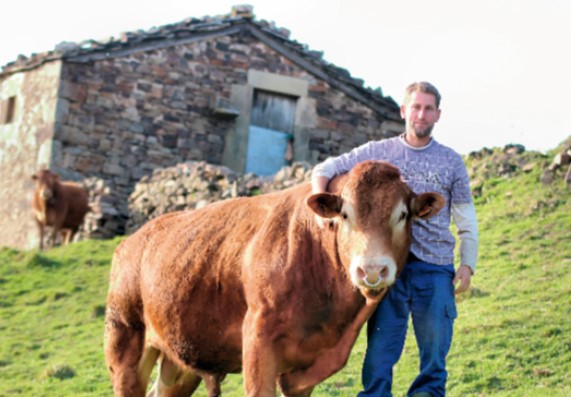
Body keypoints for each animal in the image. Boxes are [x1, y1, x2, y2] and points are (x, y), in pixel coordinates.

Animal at [104, 159, 446, 394]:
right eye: (345, 215)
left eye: (402, 215)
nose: (372, 270)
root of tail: (136, 237)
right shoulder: (259, 339)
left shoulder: (309, 369)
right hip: (124, 343)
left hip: (179, 357)